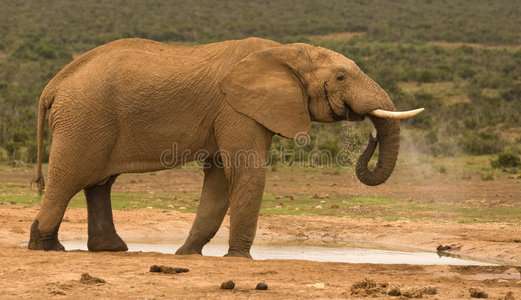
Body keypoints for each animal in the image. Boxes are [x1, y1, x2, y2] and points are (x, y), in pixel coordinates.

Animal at [27, 37, 422, 258]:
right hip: (84, 117)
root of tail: (53, 85)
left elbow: (218, 180)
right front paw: (239, 260)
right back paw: (46, 247)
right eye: (340, 77)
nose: (369, 136)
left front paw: (186, 254)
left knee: (99, 182)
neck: (284, 52)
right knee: (70, 178)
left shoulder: (235, 111)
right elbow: (245, 171)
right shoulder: (237, 108)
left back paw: (109, 249)